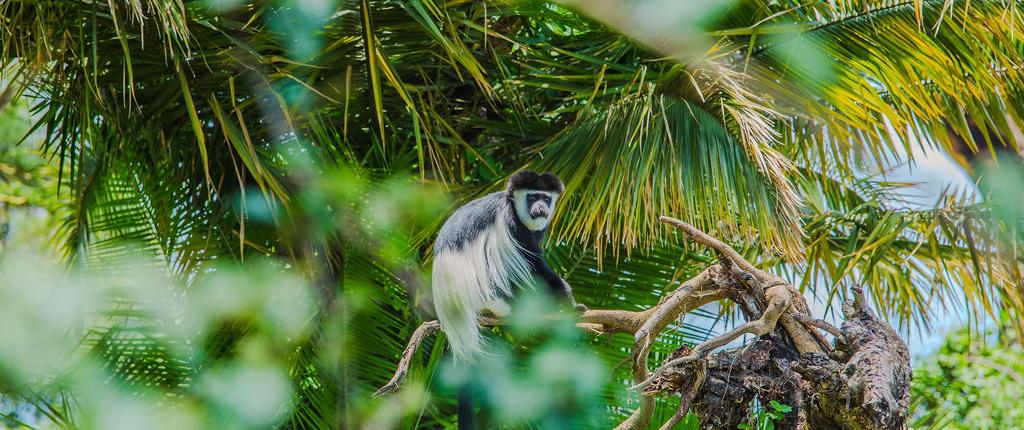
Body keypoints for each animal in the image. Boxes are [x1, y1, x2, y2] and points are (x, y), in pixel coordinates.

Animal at [431, 170, 586, 363]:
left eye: (546, 198)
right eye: (532, 197)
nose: (541, 207)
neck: (513, 207)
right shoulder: (513, 225)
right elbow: (534, 266)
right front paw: (569, 302)